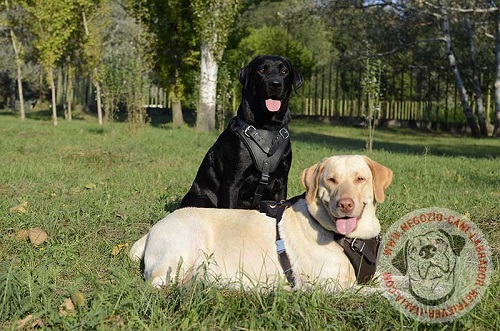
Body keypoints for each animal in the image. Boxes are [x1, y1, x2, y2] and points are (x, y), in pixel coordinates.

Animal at [181, 55, 304, 209]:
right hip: (200, 199)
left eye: (284, 71)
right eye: (262, 70)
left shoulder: (281, 181)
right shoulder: (232, 182)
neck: (267, 125)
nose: (275, 84)